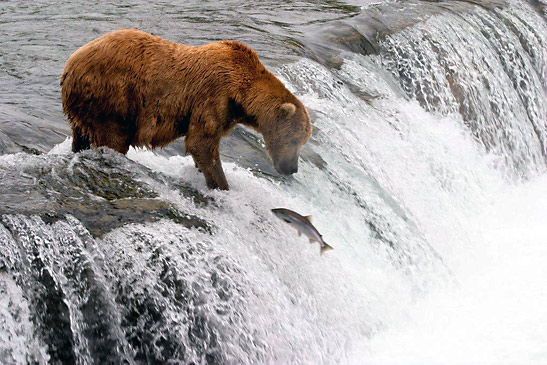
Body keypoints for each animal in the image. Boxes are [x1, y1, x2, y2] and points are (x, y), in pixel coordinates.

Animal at [60, 27, 312, 189]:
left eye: (303, 141)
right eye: (294, 139)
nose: (292, 168)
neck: (241, 94)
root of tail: (70, 63)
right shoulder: (213, 97)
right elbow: (201, 143)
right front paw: (221, 184)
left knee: (81, 135)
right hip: (112, 96)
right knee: (113, 138)